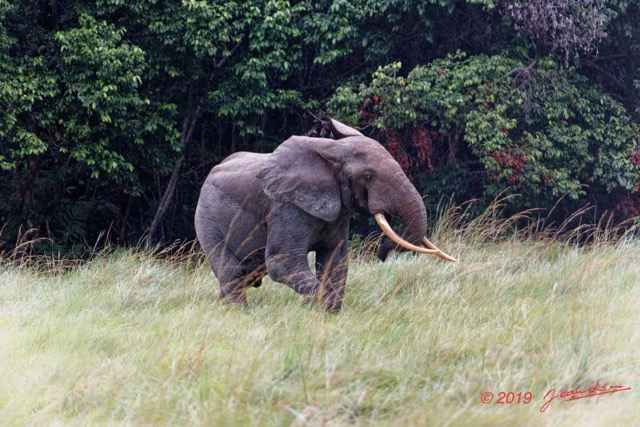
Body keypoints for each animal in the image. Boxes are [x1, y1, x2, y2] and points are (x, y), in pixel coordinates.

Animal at [194, 118, 456, 312]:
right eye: (368, 176)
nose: (382, 253)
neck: (331, 151)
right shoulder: (287, 207)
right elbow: (283, 262)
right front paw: (314, 305)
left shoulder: (339, 210)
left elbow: (335, 261)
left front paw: (327, 314)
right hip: (206, 218)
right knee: (231, 270)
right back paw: (238, 312)